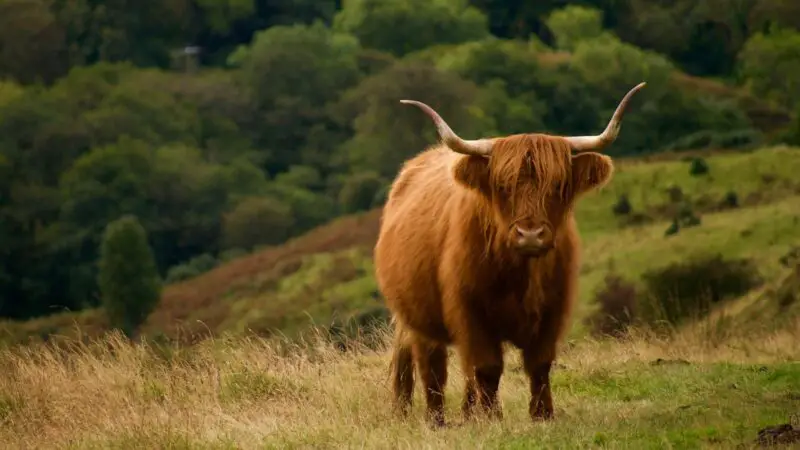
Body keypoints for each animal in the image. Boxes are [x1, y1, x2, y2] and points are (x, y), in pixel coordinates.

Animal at [374, 82, 644, 428]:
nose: (530, 235)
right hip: (416, 316)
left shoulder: (553, 309)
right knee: (429, 366)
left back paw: (466, 413)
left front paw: (542, 415)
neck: (522, 276)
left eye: (558, 184)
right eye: (502, 186)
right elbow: (487, 367)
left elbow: (538, 364)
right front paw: (491, 418)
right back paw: (433, 419)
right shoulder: (470, 311)